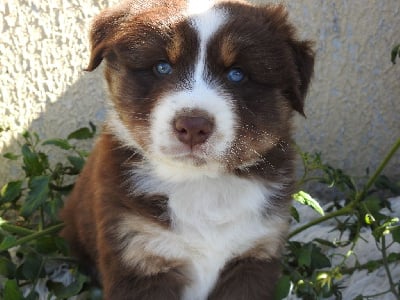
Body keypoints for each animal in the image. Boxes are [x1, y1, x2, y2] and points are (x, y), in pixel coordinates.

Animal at [60, 0, 316, 298]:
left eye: (237, 74)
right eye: (162, 67)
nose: (193, 126)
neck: (200, 183)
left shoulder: (255, 253)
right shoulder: (139, 254)